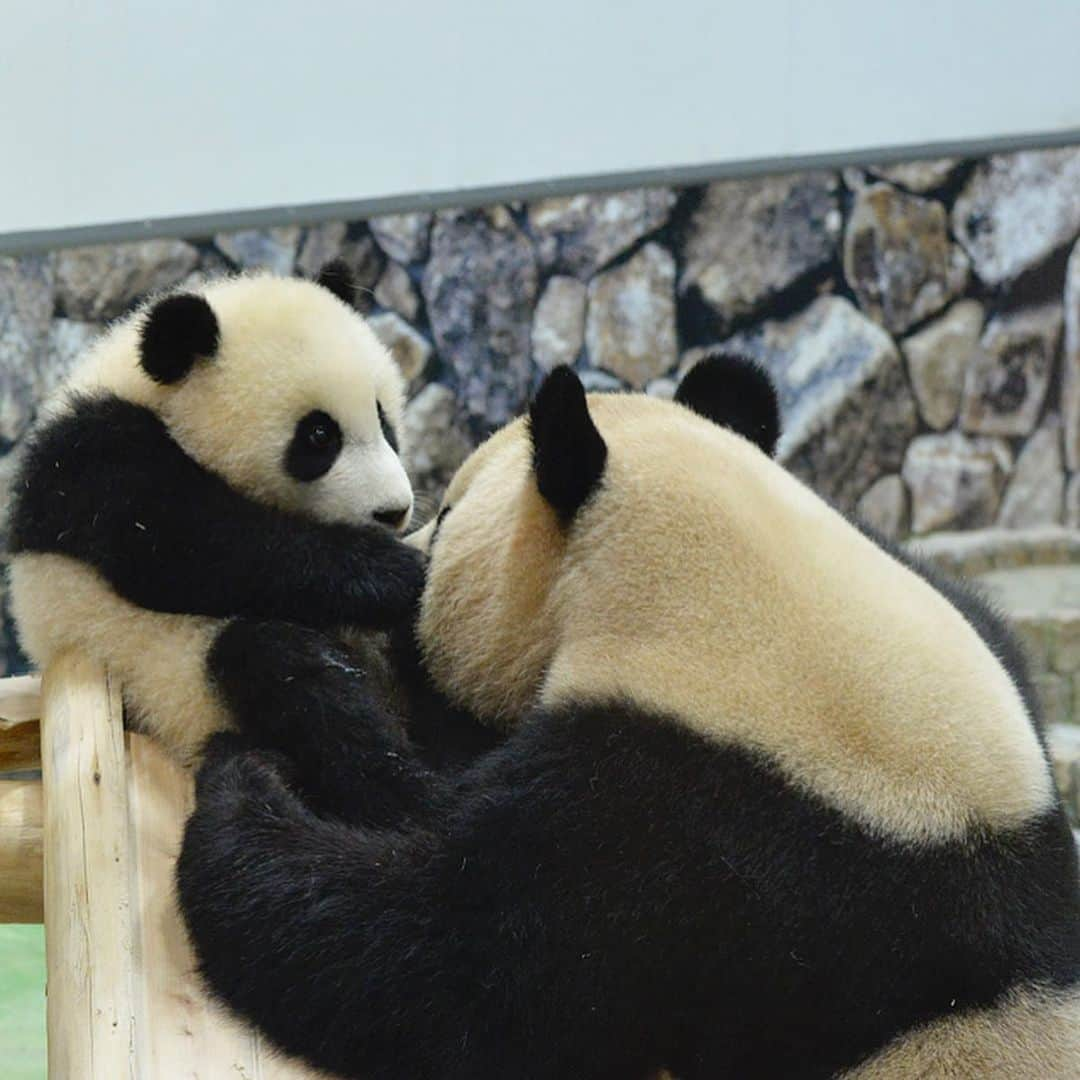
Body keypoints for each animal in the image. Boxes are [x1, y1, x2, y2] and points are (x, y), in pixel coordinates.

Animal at [7, 261, 421, 760]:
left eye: (383, 419)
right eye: (320, 436)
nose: (393, 512)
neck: (152, 397)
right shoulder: (89, 463)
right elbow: (190, 548)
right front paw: (394, 570)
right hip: (172, 679)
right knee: (286, 673)